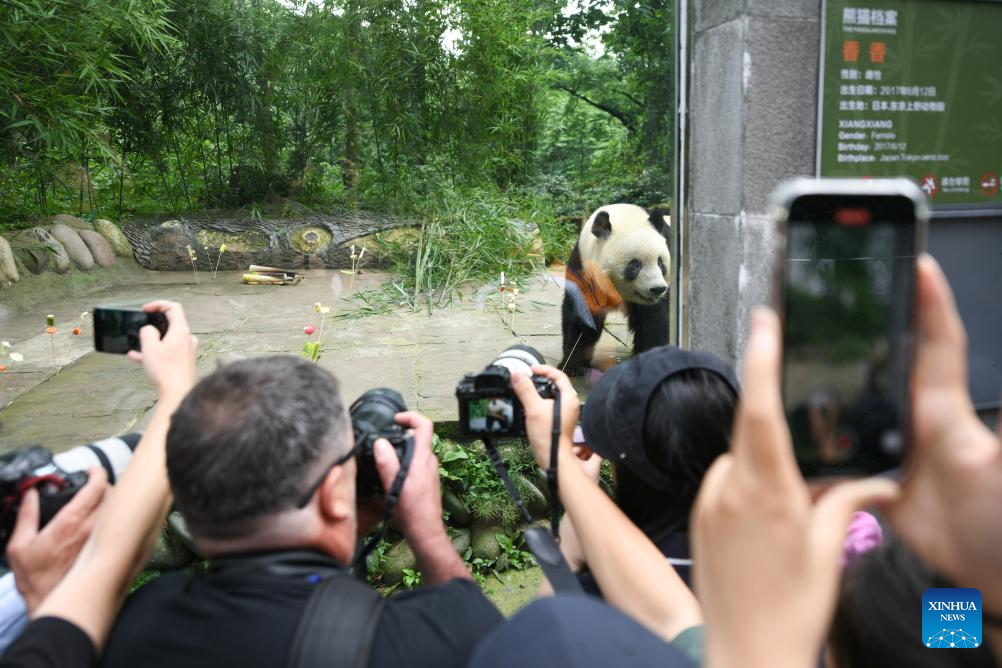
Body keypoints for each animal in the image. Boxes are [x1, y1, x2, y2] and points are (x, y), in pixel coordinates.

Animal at [561, 202, 669, 376]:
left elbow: (656, 320)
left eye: (660, 263)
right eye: (635, 265)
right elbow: (580, 315)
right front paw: (572, 366)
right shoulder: (583, 266)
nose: (657, 289)